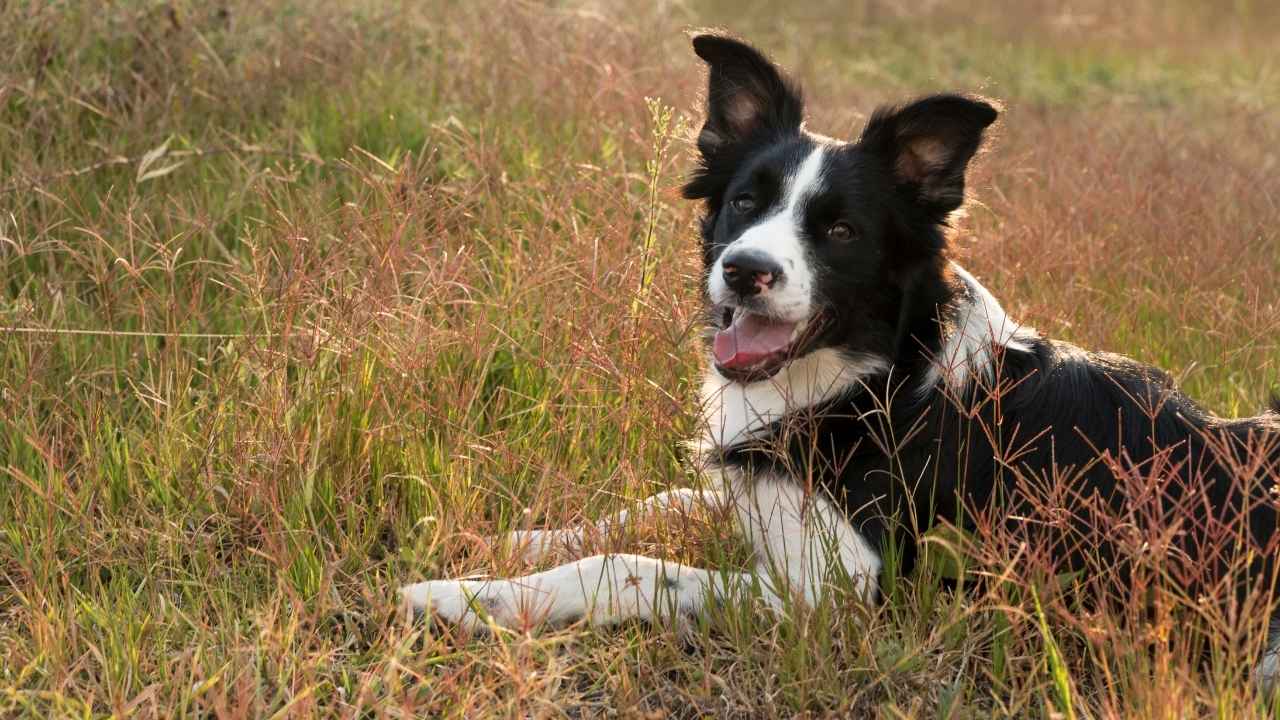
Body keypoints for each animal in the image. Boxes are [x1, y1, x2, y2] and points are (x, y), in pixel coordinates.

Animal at [401, 33, 1280, 681]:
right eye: (745, 202)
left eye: (841, 231)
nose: (744, 270)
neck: (877, 379)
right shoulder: (763, 489)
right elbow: (661, 501)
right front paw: (520, 540)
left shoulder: (844, 587)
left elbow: (631, 567)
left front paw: (462, 598)